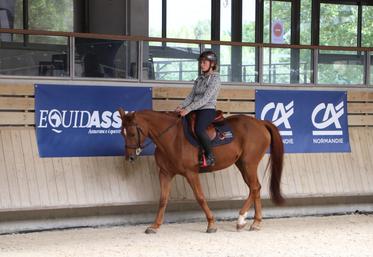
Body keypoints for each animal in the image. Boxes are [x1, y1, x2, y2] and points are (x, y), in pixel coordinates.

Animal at [117, 109, 284, 233]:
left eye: (132, 133)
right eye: (121, 133)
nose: (129, 157)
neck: (172, 138)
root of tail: (260, 122)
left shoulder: (191, 173)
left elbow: (200, 197)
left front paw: (211, 224)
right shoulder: (165, 173)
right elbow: (163, 199)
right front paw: (154, 226)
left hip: (249, 163)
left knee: (254, 187)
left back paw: (243, 220)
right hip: (242, 164)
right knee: (255, 188)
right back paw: (254, 222)